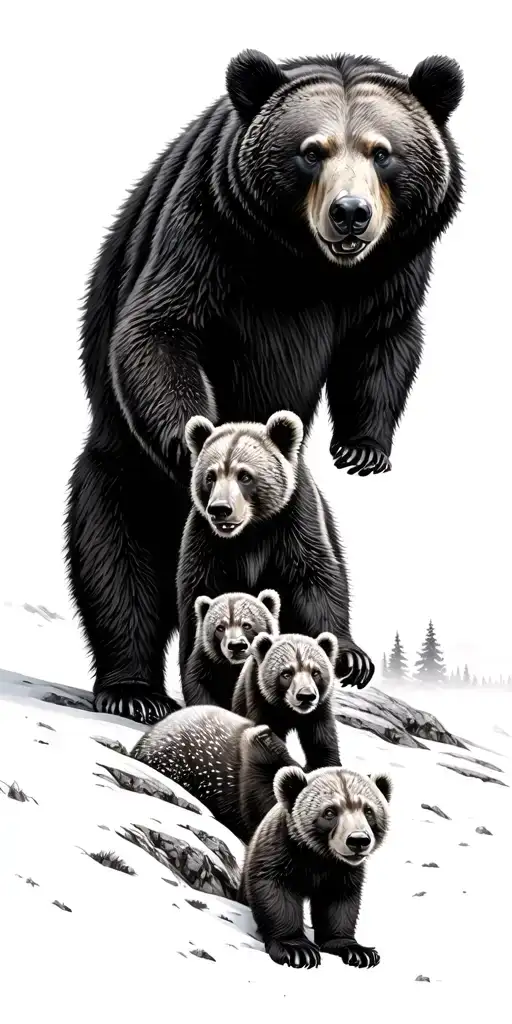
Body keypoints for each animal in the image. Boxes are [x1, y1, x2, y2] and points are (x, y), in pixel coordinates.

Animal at [178, 410, 374, 695]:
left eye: (244, 475)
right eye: (210, 476)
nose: (220, 509)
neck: (251, 530)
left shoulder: (295, 518)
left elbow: (316, 579)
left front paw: (352, 659)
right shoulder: (206, 539)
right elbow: (201, 590)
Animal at [232, 630, 340, 771]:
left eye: (315, 672)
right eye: (286, 674)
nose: (306, 695)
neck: (288, 711)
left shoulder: (318, 712)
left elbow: (322, 743)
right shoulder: (260, 701)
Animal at [240, 764, 392, 969]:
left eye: (368, 810)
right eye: (330, 812)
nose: (358, 840)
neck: (319, 856)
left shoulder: (342, 872)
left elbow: (339, 902)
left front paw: (358, 951)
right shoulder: (280, 853)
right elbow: (276, 894)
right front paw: (297, 950)